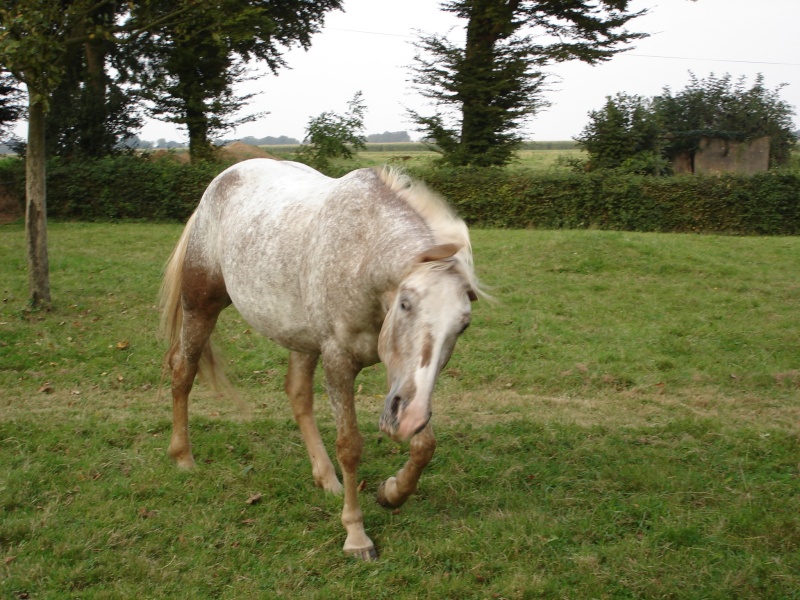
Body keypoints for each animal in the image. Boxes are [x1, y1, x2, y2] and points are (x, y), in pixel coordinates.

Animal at [159, 158, 478, 556]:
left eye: (462, 325)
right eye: (406, 304)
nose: (408, 419)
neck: (361, 255)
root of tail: (222, 180)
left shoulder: (401, 375)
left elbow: (424, 445)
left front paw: (391, 492)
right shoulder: (339, 360)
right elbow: (350, 446)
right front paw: (356, 535)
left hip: (302, 339)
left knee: (298, 395)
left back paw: (326, 479)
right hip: (201, 308)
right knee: (183, 371)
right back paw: (183, 457)